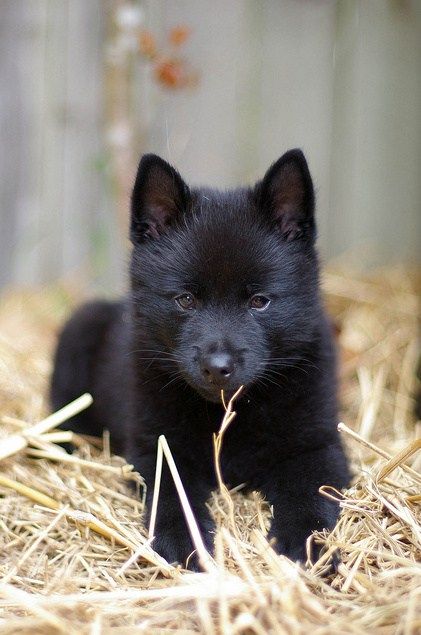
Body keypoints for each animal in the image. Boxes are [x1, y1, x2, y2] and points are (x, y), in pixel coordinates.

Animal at [50, 150, 350, 572]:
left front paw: (305, 544)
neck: (230, 412)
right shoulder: (157, 449)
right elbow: (174, 498)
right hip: (79, 329)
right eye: (186, 300)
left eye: (259, 301)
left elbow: (309, 495)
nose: (217, 367)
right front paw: (185, 543)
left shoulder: (318, 446)